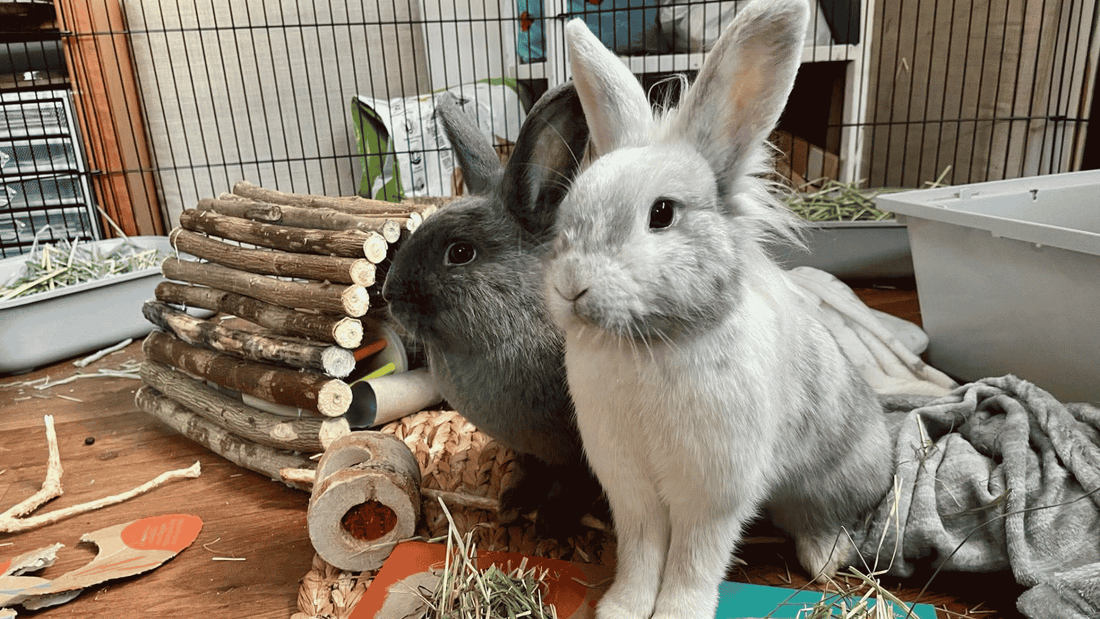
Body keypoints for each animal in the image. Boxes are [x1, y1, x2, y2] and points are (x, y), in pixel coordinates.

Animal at [381, 82, 602, 538]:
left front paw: (552, 521)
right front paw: (512, 504)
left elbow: (575, 483)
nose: (389, 293)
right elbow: (531, 471)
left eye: (461, 253)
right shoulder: (530, 450)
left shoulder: (584, 455)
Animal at [543, 1, 894, 617]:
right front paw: (623, 606)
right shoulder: (631, 490)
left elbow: (693, 557)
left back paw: (823, 562)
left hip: (834, 481)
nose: (570, 285)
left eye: (662, 213)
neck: (652, 343)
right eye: (572, 207)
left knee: (829, 521)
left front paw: (677, 610)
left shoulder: (712, 493)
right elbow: (642, 551)